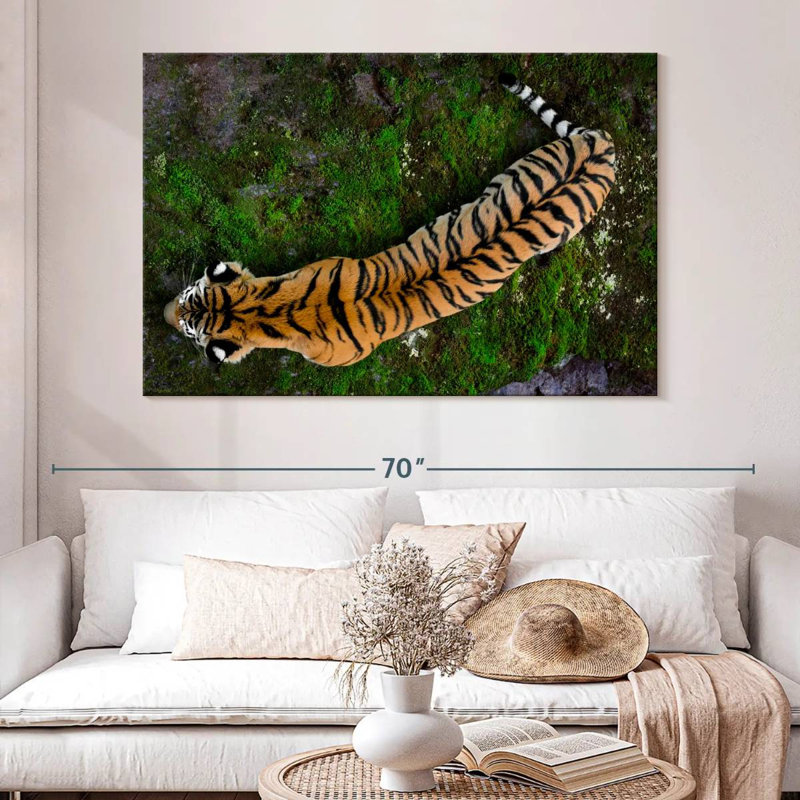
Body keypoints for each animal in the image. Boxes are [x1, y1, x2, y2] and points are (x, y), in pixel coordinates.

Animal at [163, 73, 616, 367]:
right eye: (185, 299)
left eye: (187, 327)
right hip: (512, 172)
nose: (162, 312)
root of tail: (603, 144)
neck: (263, 309)